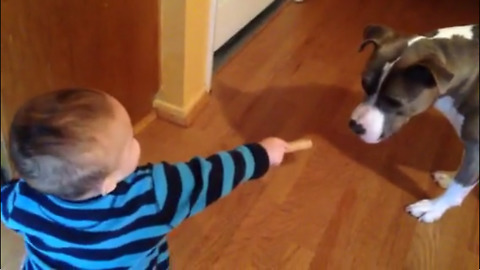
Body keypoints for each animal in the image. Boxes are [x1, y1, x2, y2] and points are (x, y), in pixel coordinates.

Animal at [350, 24, 478, 223]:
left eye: (395, 102)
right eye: (364, 84)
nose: (355, 126)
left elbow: (458, 187)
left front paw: (433, 208)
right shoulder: (471, 145)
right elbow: (462, 173)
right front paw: (450, 177)